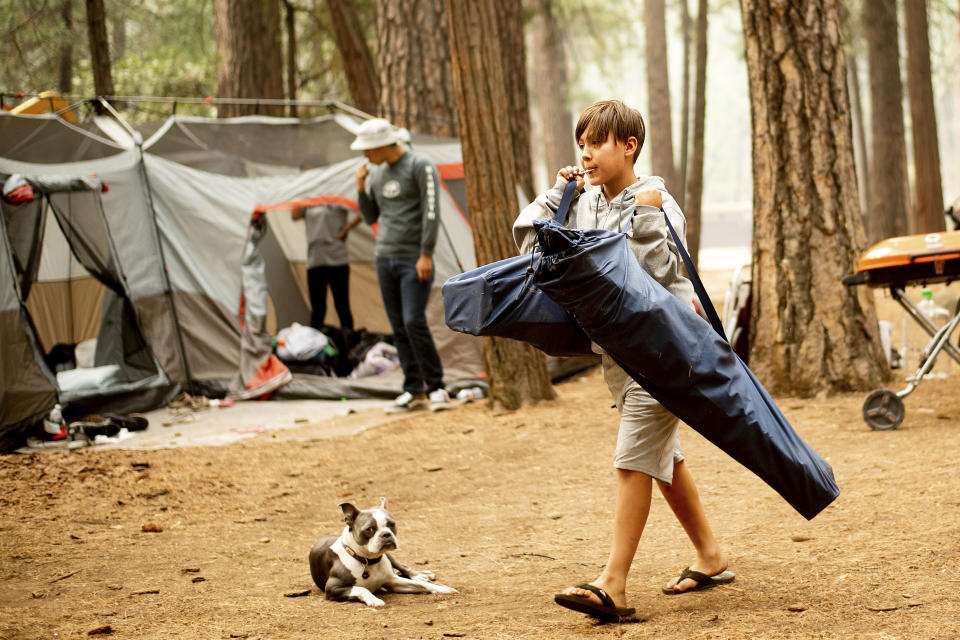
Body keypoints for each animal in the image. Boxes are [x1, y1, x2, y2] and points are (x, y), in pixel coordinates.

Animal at [310, 498, 456, 608]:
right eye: (369, 529)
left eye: (392, 524)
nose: (386, 534)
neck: (367, 561)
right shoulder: (333, 588)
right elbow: (361, 588)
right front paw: (374, 599)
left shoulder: (393, 582)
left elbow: (422, 585)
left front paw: (443, 588)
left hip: (389, 556)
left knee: (403, 567)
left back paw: (420, 575)